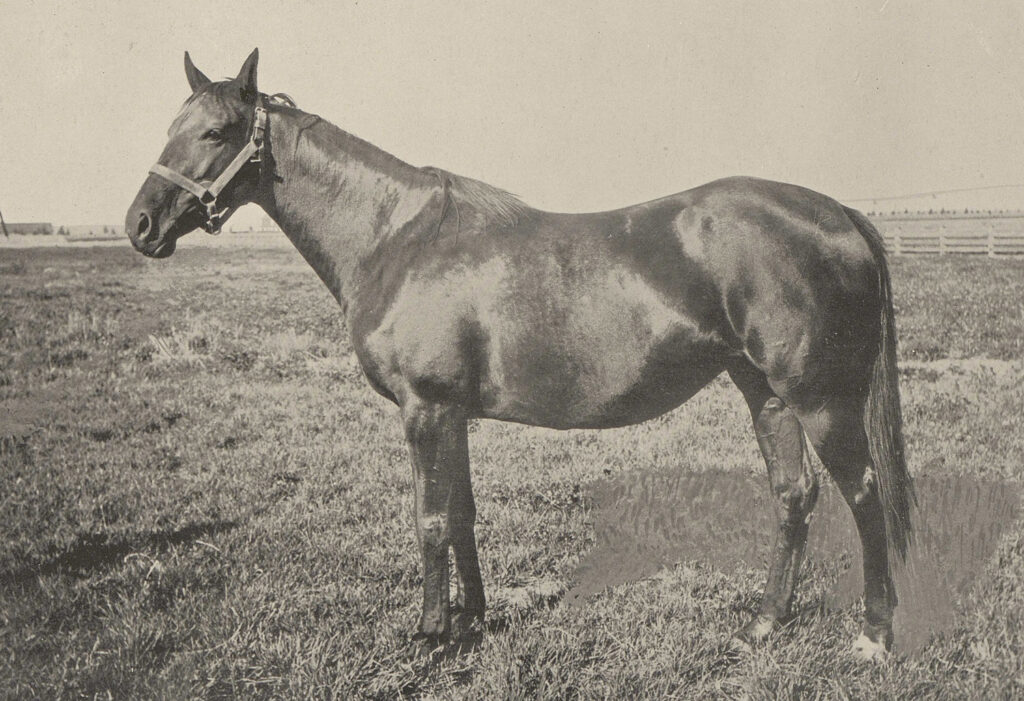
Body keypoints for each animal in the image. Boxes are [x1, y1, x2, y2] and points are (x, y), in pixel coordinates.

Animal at [123, 51, 917, 659]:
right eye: (169, 128)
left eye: (216, 131)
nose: (141, 224)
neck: (398, 239)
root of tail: (837, 213)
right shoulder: (453, 415)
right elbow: (463, 513)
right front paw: (472, 621)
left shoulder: (426, 410)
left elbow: (430, 519)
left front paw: (430, 635)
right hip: (766, 392)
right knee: (794, 494)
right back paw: (764, 623)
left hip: (820, 399)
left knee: (863, 493)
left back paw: (874, 635)